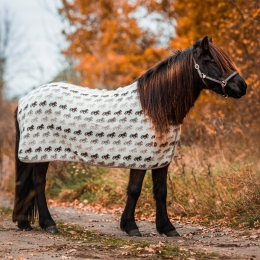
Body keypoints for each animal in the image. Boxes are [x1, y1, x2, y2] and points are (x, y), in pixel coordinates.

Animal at [12, 37, 247, 238]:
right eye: (211, 61)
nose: (242, 86)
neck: (156, 107)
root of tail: (24, 100)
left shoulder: (162, 159)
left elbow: (161, 191)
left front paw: (167, 228)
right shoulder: (139, 158)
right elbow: (134, 190)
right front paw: (131, 227)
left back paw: (25, 222)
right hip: (41, 153)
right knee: (39, 184)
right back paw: (49, 224)